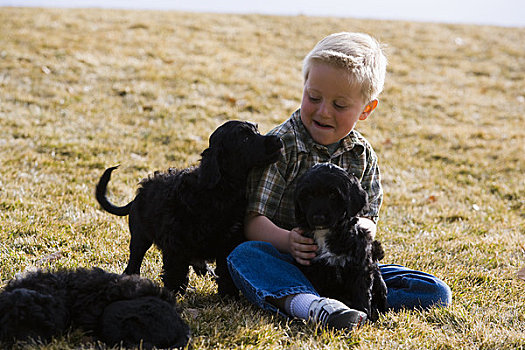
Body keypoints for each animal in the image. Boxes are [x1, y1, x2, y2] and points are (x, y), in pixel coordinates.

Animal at [95, 120, 280, 296]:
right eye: (245, 138)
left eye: (257, 131)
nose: (278, 140)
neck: (222, 190)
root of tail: (138, 195)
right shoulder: (176, 243)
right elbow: (175, 272)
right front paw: (174, 293)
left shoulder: (230, 239)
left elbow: (226, 272)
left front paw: (229, 295)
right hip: (140, 236)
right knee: (134, 262)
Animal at [294, 163, 388, 322]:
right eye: (308, 196)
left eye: (333, 195)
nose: (318, 218)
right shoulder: (315, 269)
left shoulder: (360, 268)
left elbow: (361, 294)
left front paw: (363, 313)